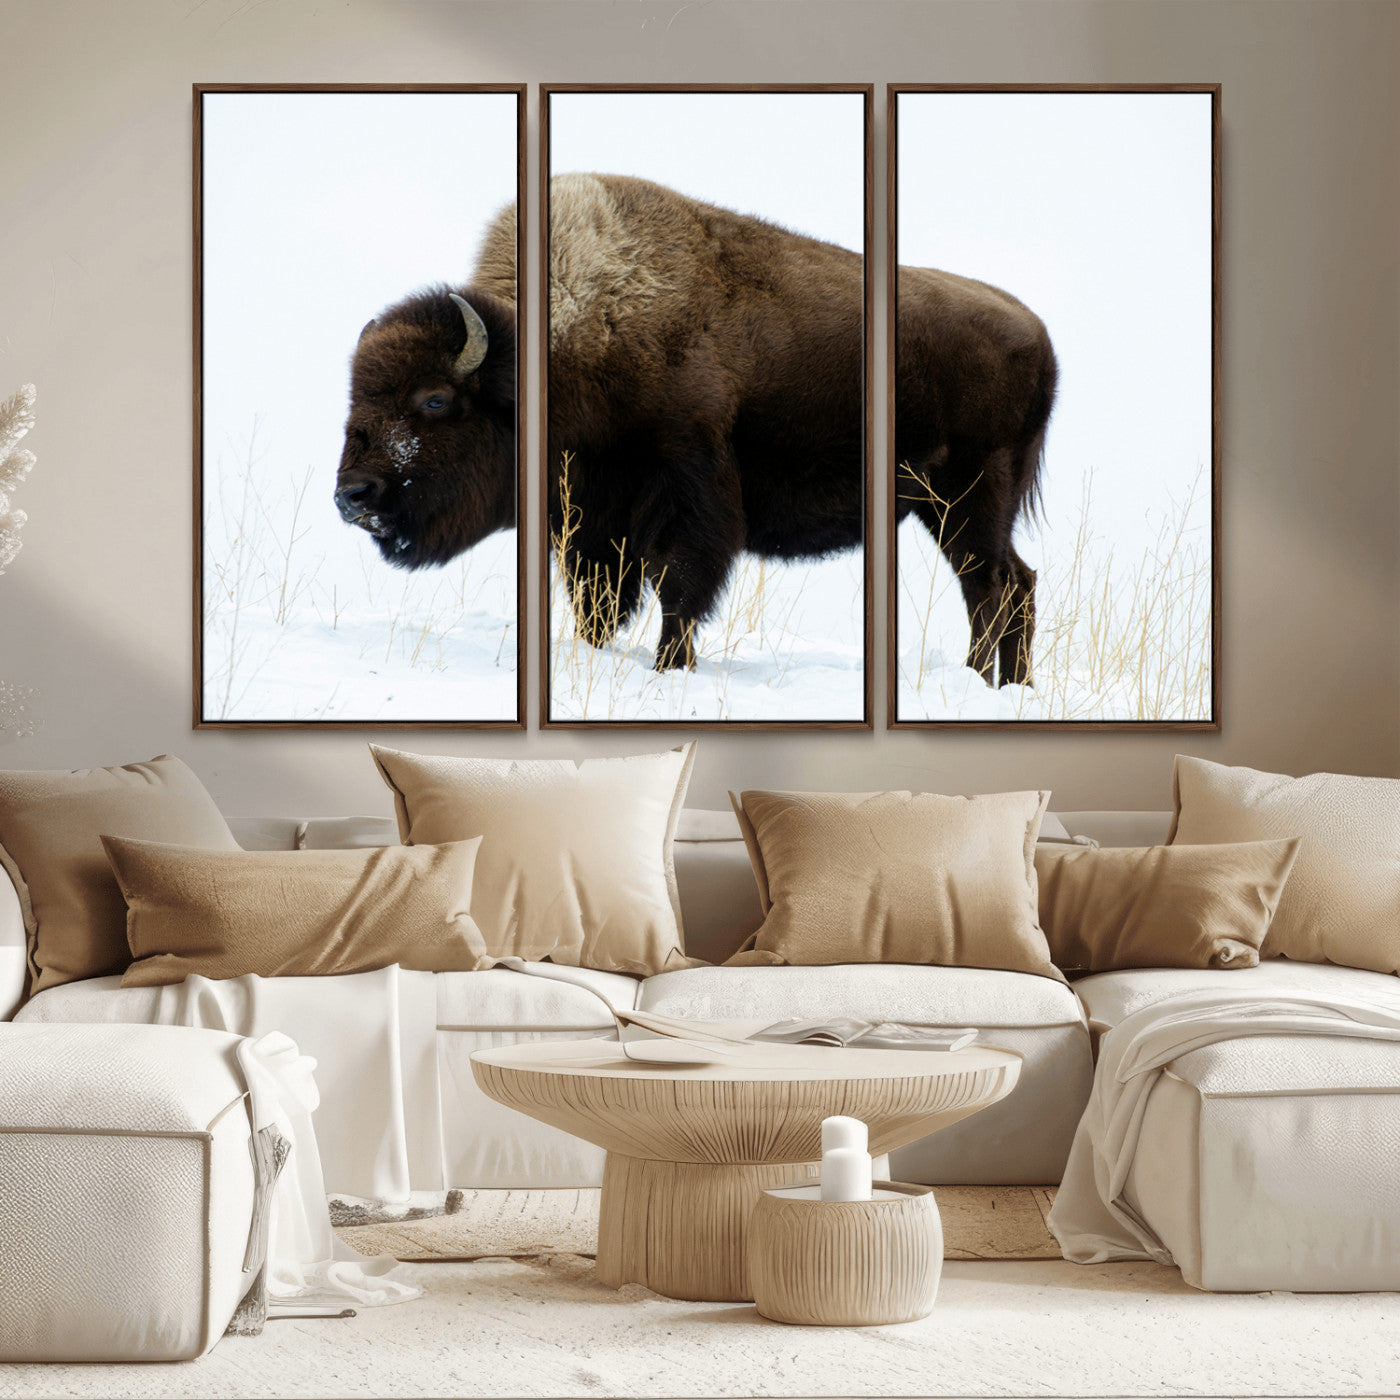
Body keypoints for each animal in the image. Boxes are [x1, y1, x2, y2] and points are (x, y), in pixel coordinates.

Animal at [335, 172, 1056, 683]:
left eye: (434, 400)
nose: (352, 496)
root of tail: (1038, 332)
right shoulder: (593, 522)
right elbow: (600, 602)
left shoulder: (688, 495)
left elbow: (680, 590)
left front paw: (669, 669)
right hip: (946, 507)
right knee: (1009, 584)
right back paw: (1004, 687)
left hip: (971, 496)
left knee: (993, 586)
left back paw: (979, 683)